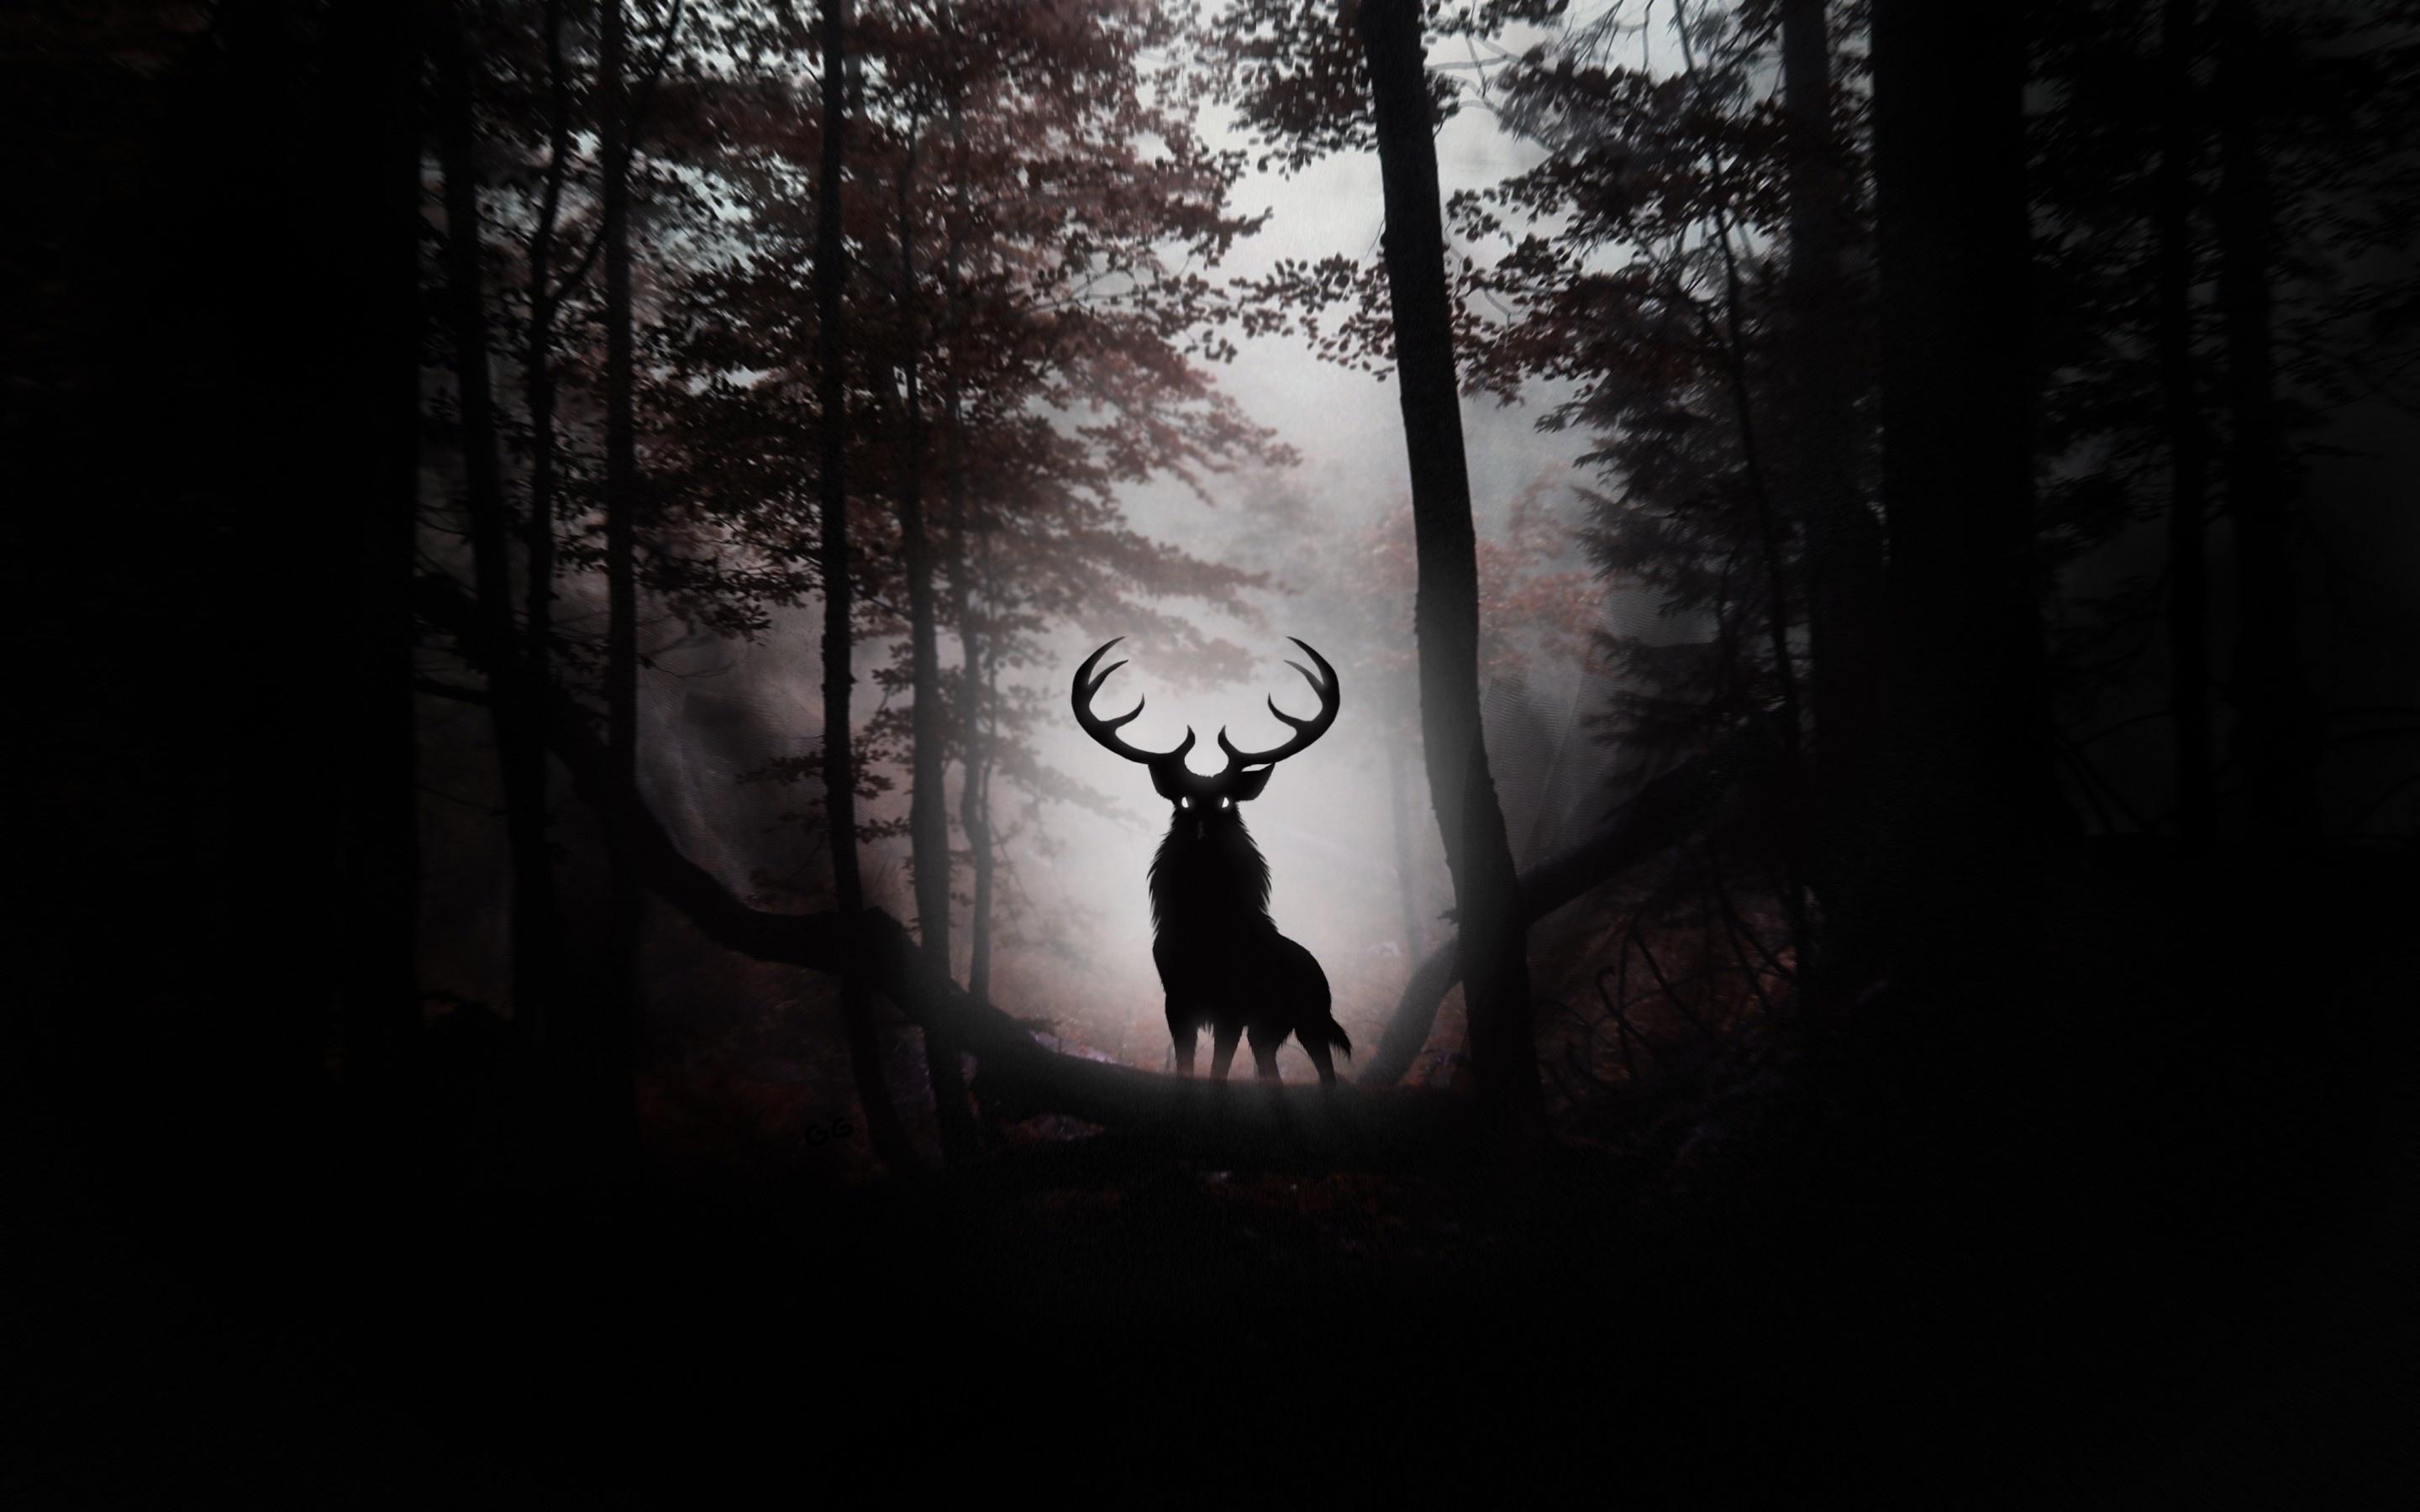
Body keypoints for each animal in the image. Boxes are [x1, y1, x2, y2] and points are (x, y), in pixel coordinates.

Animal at [1072, 637, 1353, 1085]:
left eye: (1225, 801)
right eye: (1184, 801)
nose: (1203, 832)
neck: (1205, 930)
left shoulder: (1232, 1007)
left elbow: (1218, 1072)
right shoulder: (1176, 1000)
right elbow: (1186, 1067)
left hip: (1310, 1018)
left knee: (1326, 1073)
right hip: (1270, 1030)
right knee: (1271, 1071)